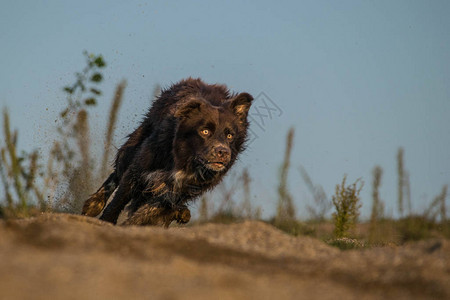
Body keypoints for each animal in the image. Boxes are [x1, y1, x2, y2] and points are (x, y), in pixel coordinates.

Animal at [81, 78, 253, 226]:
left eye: (230, 135)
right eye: (205, 131)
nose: (222, 152)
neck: (184, 160)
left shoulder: (174, 195)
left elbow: (144, 214)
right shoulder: (138, 170)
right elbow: (118, 201)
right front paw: (106, 221)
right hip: (131, 148)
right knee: (116, 174)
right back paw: (93, 204)